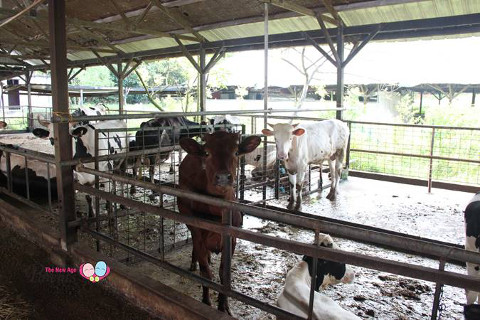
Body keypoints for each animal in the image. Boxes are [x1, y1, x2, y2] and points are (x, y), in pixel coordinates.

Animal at [178, 131, 260, 314]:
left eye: (236, 152)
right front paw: (206, 302)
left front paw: (224, 306)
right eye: (207, 153)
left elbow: (224, 274)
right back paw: (194, 262)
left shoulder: (232, 239)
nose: (223, 177)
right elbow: (206, 273)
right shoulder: (198, 233)